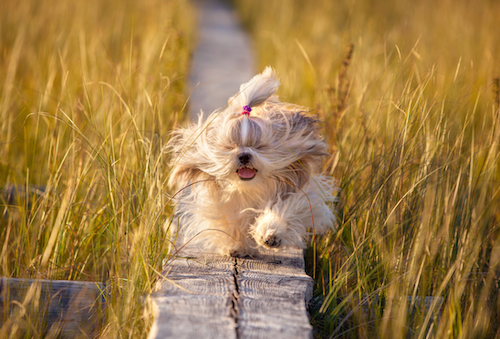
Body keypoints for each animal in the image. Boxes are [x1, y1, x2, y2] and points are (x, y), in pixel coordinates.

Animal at [167, 67, 336, 256]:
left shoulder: (299, 192)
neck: (251, 187)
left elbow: (286, 208)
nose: (244, 155)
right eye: (230, 146)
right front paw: (236, 246)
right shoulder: (223, 204)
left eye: (259, 146)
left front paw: (271, 234)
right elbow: (231, 220)